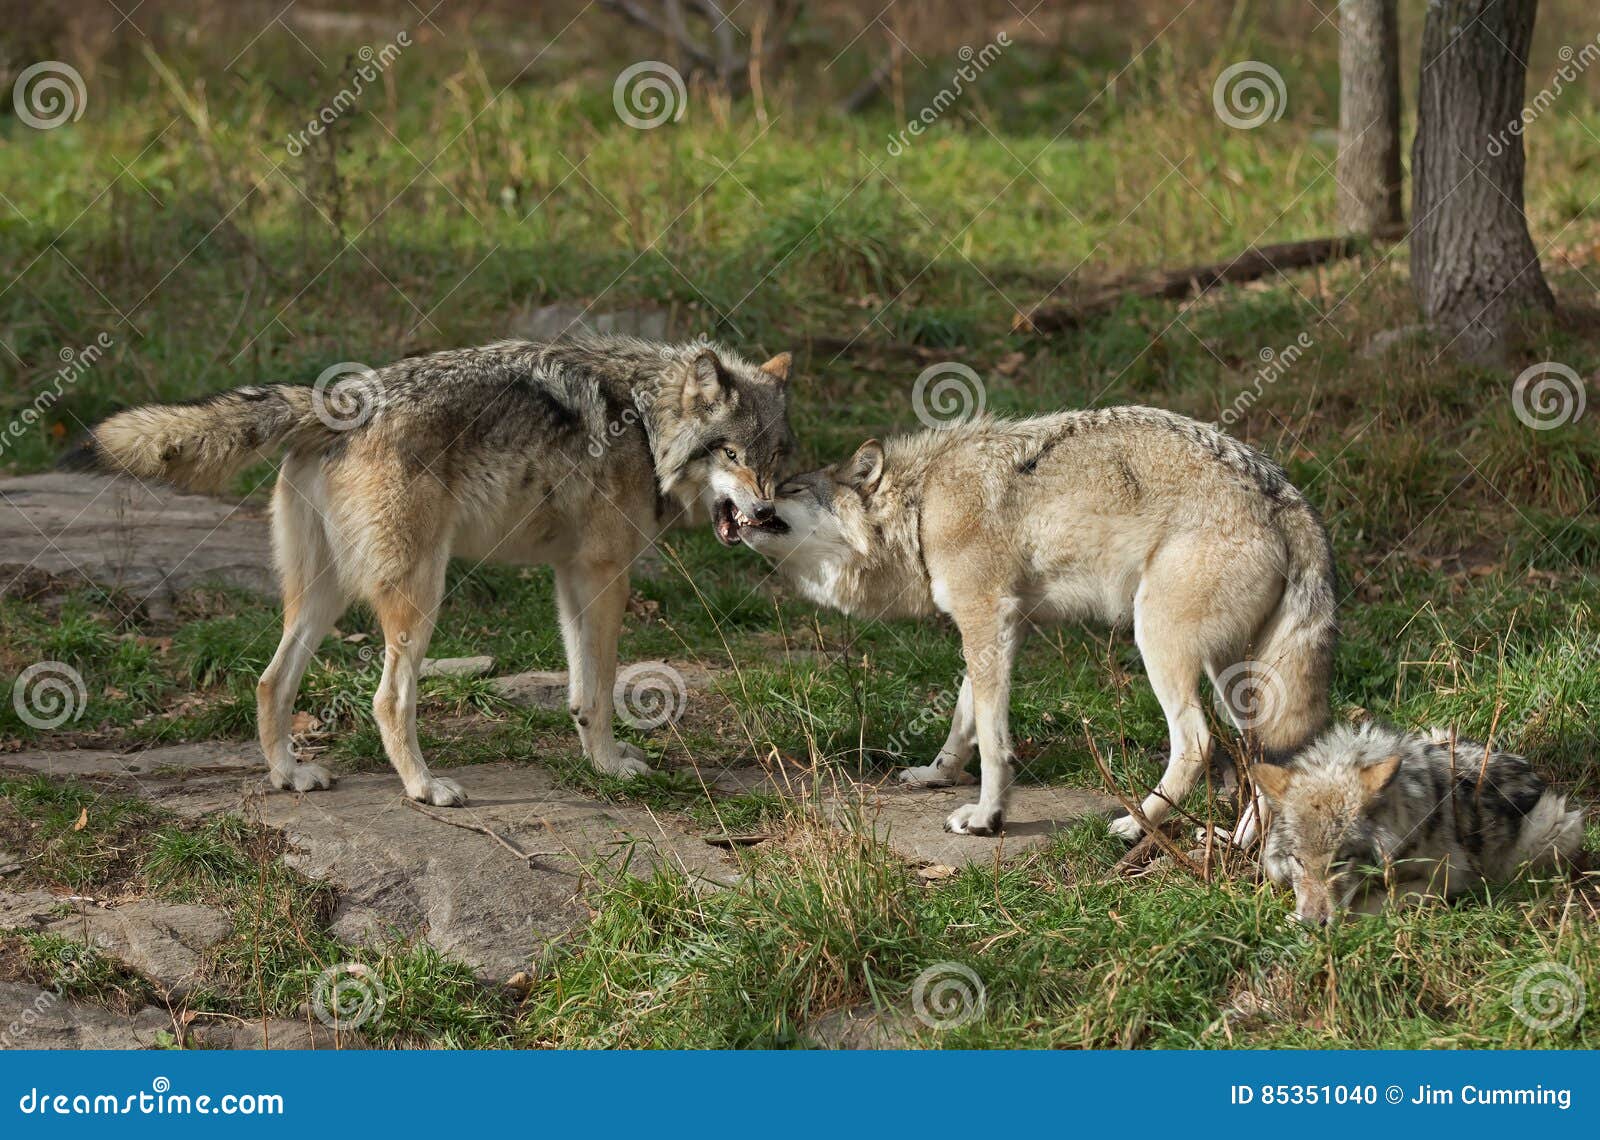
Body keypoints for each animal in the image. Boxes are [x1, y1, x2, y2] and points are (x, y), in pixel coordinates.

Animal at [72, 334, 796, 806]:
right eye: (732, 453)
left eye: (774, 456)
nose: (765, 513)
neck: (646, 420)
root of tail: (335, 401)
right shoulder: (602, 574)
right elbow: (600, 689)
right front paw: (613, 769)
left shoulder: (570, 578)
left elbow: (580, 693)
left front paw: (597, 764)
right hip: (421, 595)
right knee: (387, 699)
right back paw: (425, 788)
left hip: (323, 598)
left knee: (269, 681)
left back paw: (291, 775)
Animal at [736, 406, 1337, 838]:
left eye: (788, 491)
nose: (740, 506)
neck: (923, 506)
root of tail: (1288, 497)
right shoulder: (1005, 626)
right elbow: (963, 719)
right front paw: (937, 776)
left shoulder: (984, 616)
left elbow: (992, 738)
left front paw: (986, 817)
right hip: (1233, 677)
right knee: (1264, 754)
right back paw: (1241, 843)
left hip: (1161, 646)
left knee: (1198, 743)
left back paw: (1134, 824)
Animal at [1254, 720, 1580, 928]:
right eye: (1298, 860)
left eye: (1341, 861)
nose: (1312, 924)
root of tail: (1528, 767)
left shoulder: (1447, 880)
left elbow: (1376, 900)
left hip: (1555, 825)